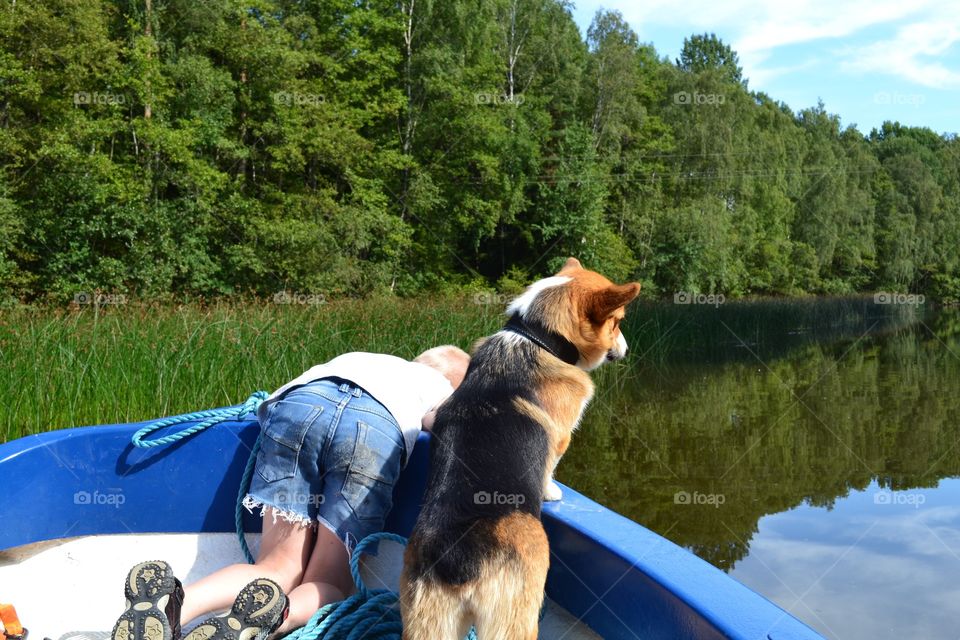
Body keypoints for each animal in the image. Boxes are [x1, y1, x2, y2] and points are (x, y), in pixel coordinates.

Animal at [402, 258, 640, 640]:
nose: (628, 350)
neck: (538, 336)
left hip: (428, 622)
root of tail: (457, 557)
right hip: (516, 614)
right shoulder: (560, 438)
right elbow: (550, 468)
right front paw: (552, 492)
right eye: (617, 321)